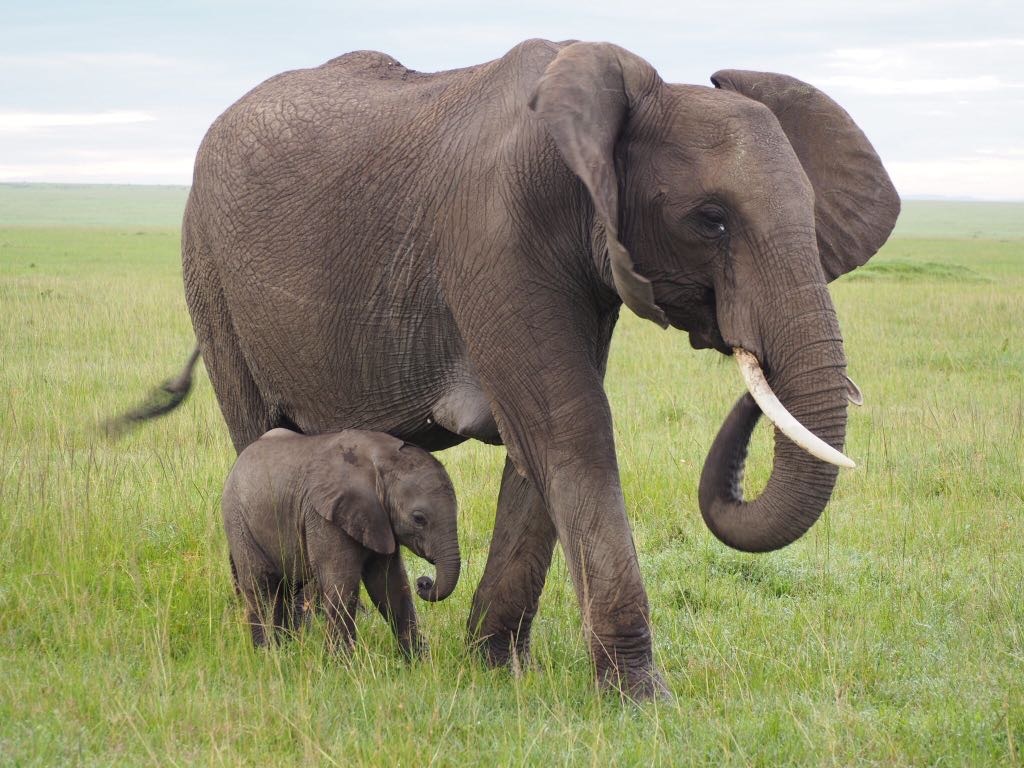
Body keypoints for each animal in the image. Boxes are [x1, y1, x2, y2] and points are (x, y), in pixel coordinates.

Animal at [222, 428, 460, 656]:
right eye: (419, 519)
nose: (424, 582)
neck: (380, 459)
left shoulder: (380, 521)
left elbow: (389, 584)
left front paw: (417, 661)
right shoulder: (325, 517)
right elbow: (343, 584)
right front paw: (342, 663)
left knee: (287, 589)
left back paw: (286, 650)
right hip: (238, 523)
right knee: (259, 588)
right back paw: (266, 654)